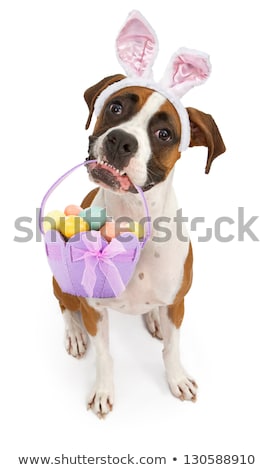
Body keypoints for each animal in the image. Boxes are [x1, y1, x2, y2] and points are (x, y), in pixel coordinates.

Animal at [51, 11, 225, 416]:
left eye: (164, 134)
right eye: (116, 107)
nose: (121, 140)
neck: (131, 219)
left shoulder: (178, 301)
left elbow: (173, 347)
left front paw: (177, 378)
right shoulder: (94, 309)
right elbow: (104, 355)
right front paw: (103, 390)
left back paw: (153, 319)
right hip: (60, 282)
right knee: (65, 304)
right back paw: (74, 334)